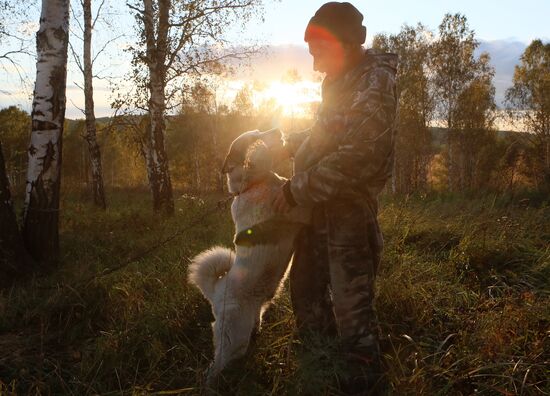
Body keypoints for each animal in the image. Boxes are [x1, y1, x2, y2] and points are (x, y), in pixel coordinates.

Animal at [190, 130, 310, 384]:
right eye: (257, 136)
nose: (278, 130)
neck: (253, 185)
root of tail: (215, 291)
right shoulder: (299, 211)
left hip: (254, 318)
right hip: (234, 338)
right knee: (214, 367)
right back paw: (212, 384)